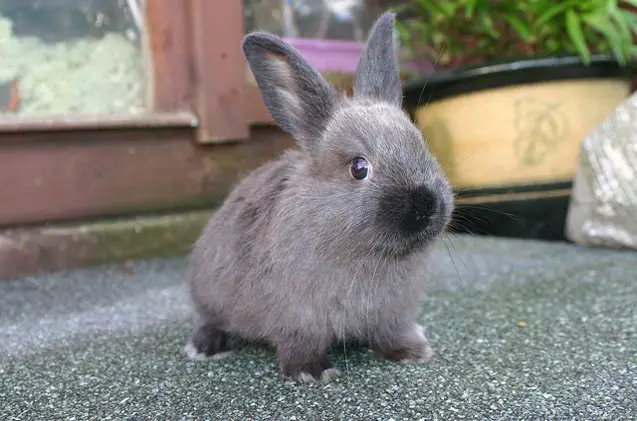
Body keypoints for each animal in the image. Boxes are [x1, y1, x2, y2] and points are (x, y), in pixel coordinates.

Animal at [181, 11, 454, 382]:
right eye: (358, 168)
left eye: (421, 146)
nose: (426, 206)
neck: (366, 253)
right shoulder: (298, 318)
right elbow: (301, 345)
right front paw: (312, 373)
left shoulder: (394, 315)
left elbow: (391, 334)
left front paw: (413, 352)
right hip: (209, 293)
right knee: (209, 320)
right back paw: (206, 346)